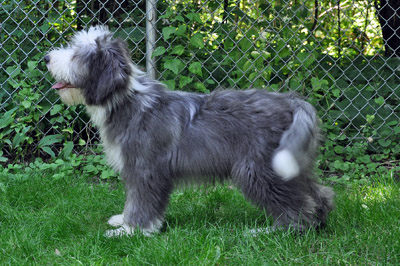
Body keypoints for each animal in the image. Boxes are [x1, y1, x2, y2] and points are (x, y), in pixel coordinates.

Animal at [45, 26, 334, 236]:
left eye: (76, 55)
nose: (47, 58)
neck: (127, 100)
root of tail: (292, 101)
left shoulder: (145, 168)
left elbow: (141, 201)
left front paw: (132, 230)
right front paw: (123, 221)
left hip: (258, 169)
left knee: (297, 203)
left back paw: (277, 231)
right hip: (292, 163)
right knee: (317, 193)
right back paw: (320, 222)